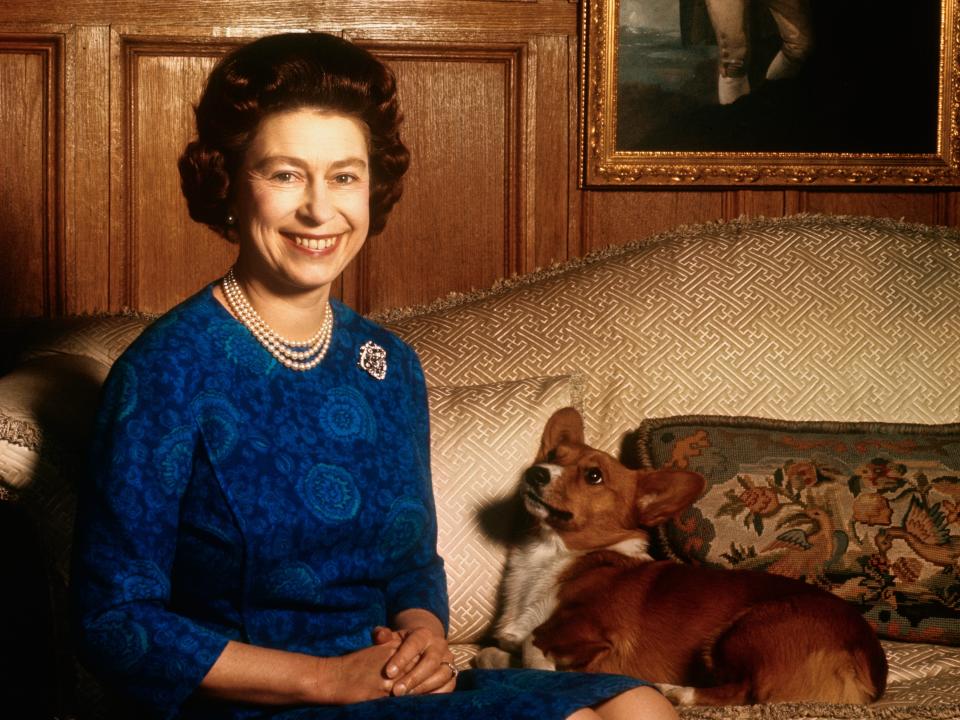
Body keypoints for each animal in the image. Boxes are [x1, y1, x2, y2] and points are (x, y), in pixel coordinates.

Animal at [476, 408, 888, 704]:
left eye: (594, 476)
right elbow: (495, 651)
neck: (552, 555)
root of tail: (870, 665)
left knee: (744, 692)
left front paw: (550, 668)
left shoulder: (596, 632)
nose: (535, 473)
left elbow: (533, 643)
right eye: (552, 455)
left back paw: (676, 691)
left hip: (744, 628)